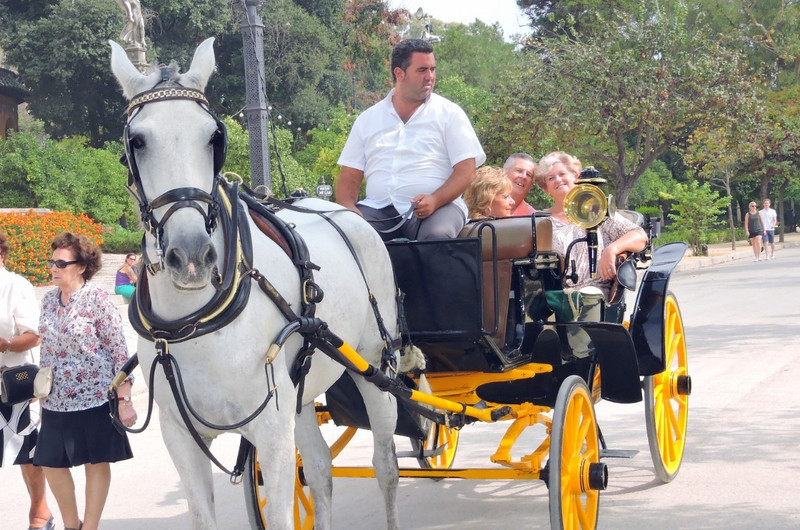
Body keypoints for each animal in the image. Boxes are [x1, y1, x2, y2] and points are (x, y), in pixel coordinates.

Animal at [110, 38, 404, 528]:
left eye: (213, 137)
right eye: (138, 141)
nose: (192, 256)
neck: (196, 323)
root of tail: (348, 213)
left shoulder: (270, 428)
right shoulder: (182, 437)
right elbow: (204, 516)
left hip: (375, 364)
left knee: (386, 465)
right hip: (301, 391)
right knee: (321, 468)